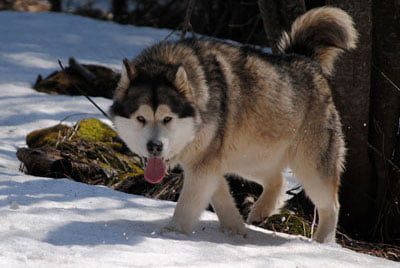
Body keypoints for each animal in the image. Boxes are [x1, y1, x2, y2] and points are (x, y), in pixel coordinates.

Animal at [110, 6, 360, 243]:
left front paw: (172, 233)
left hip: (309, 167)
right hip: (248, 158)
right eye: (141, 119)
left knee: (332, 205)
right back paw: (261, 211)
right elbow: (222, 199)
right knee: (277, 180)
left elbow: (187, 205)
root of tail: (303, 59)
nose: (155, 147)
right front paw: (235, 231)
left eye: (167, 119)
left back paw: (323, 242)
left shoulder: (203, 167)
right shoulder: (207, 165)